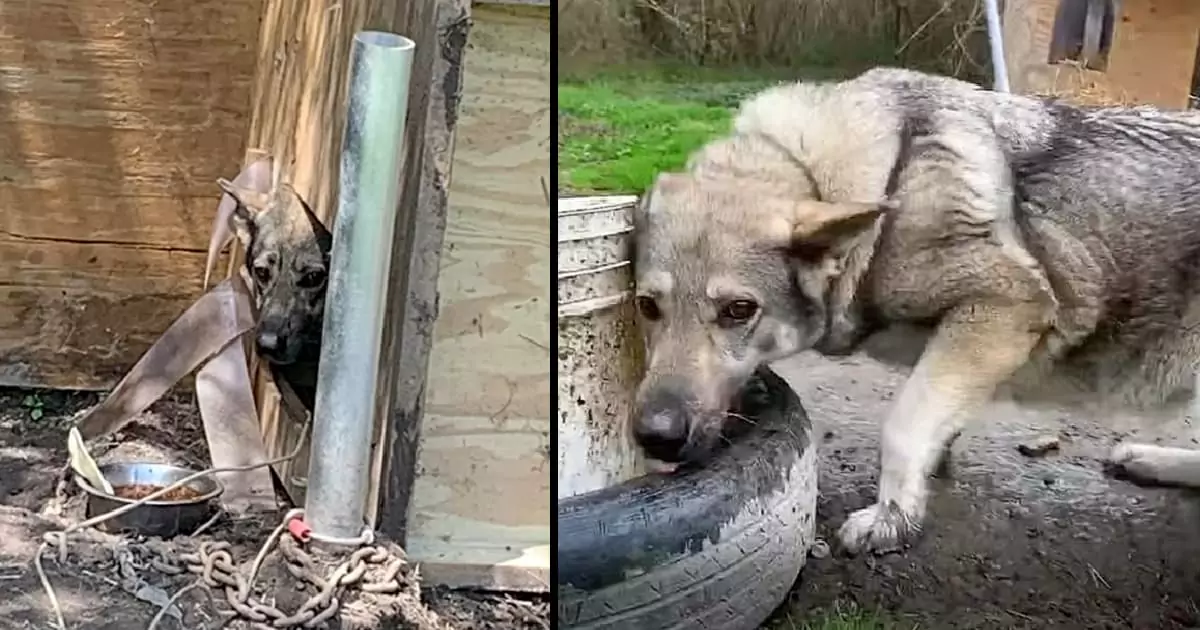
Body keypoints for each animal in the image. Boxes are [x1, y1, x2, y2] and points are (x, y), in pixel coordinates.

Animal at [628, 66, 1200, 552]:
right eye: (648, 307)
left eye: (738, 310)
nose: (654, 437)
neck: (886, 186)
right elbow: (932, 418)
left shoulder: (1003, 308)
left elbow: (903, 424)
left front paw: (892, 517)